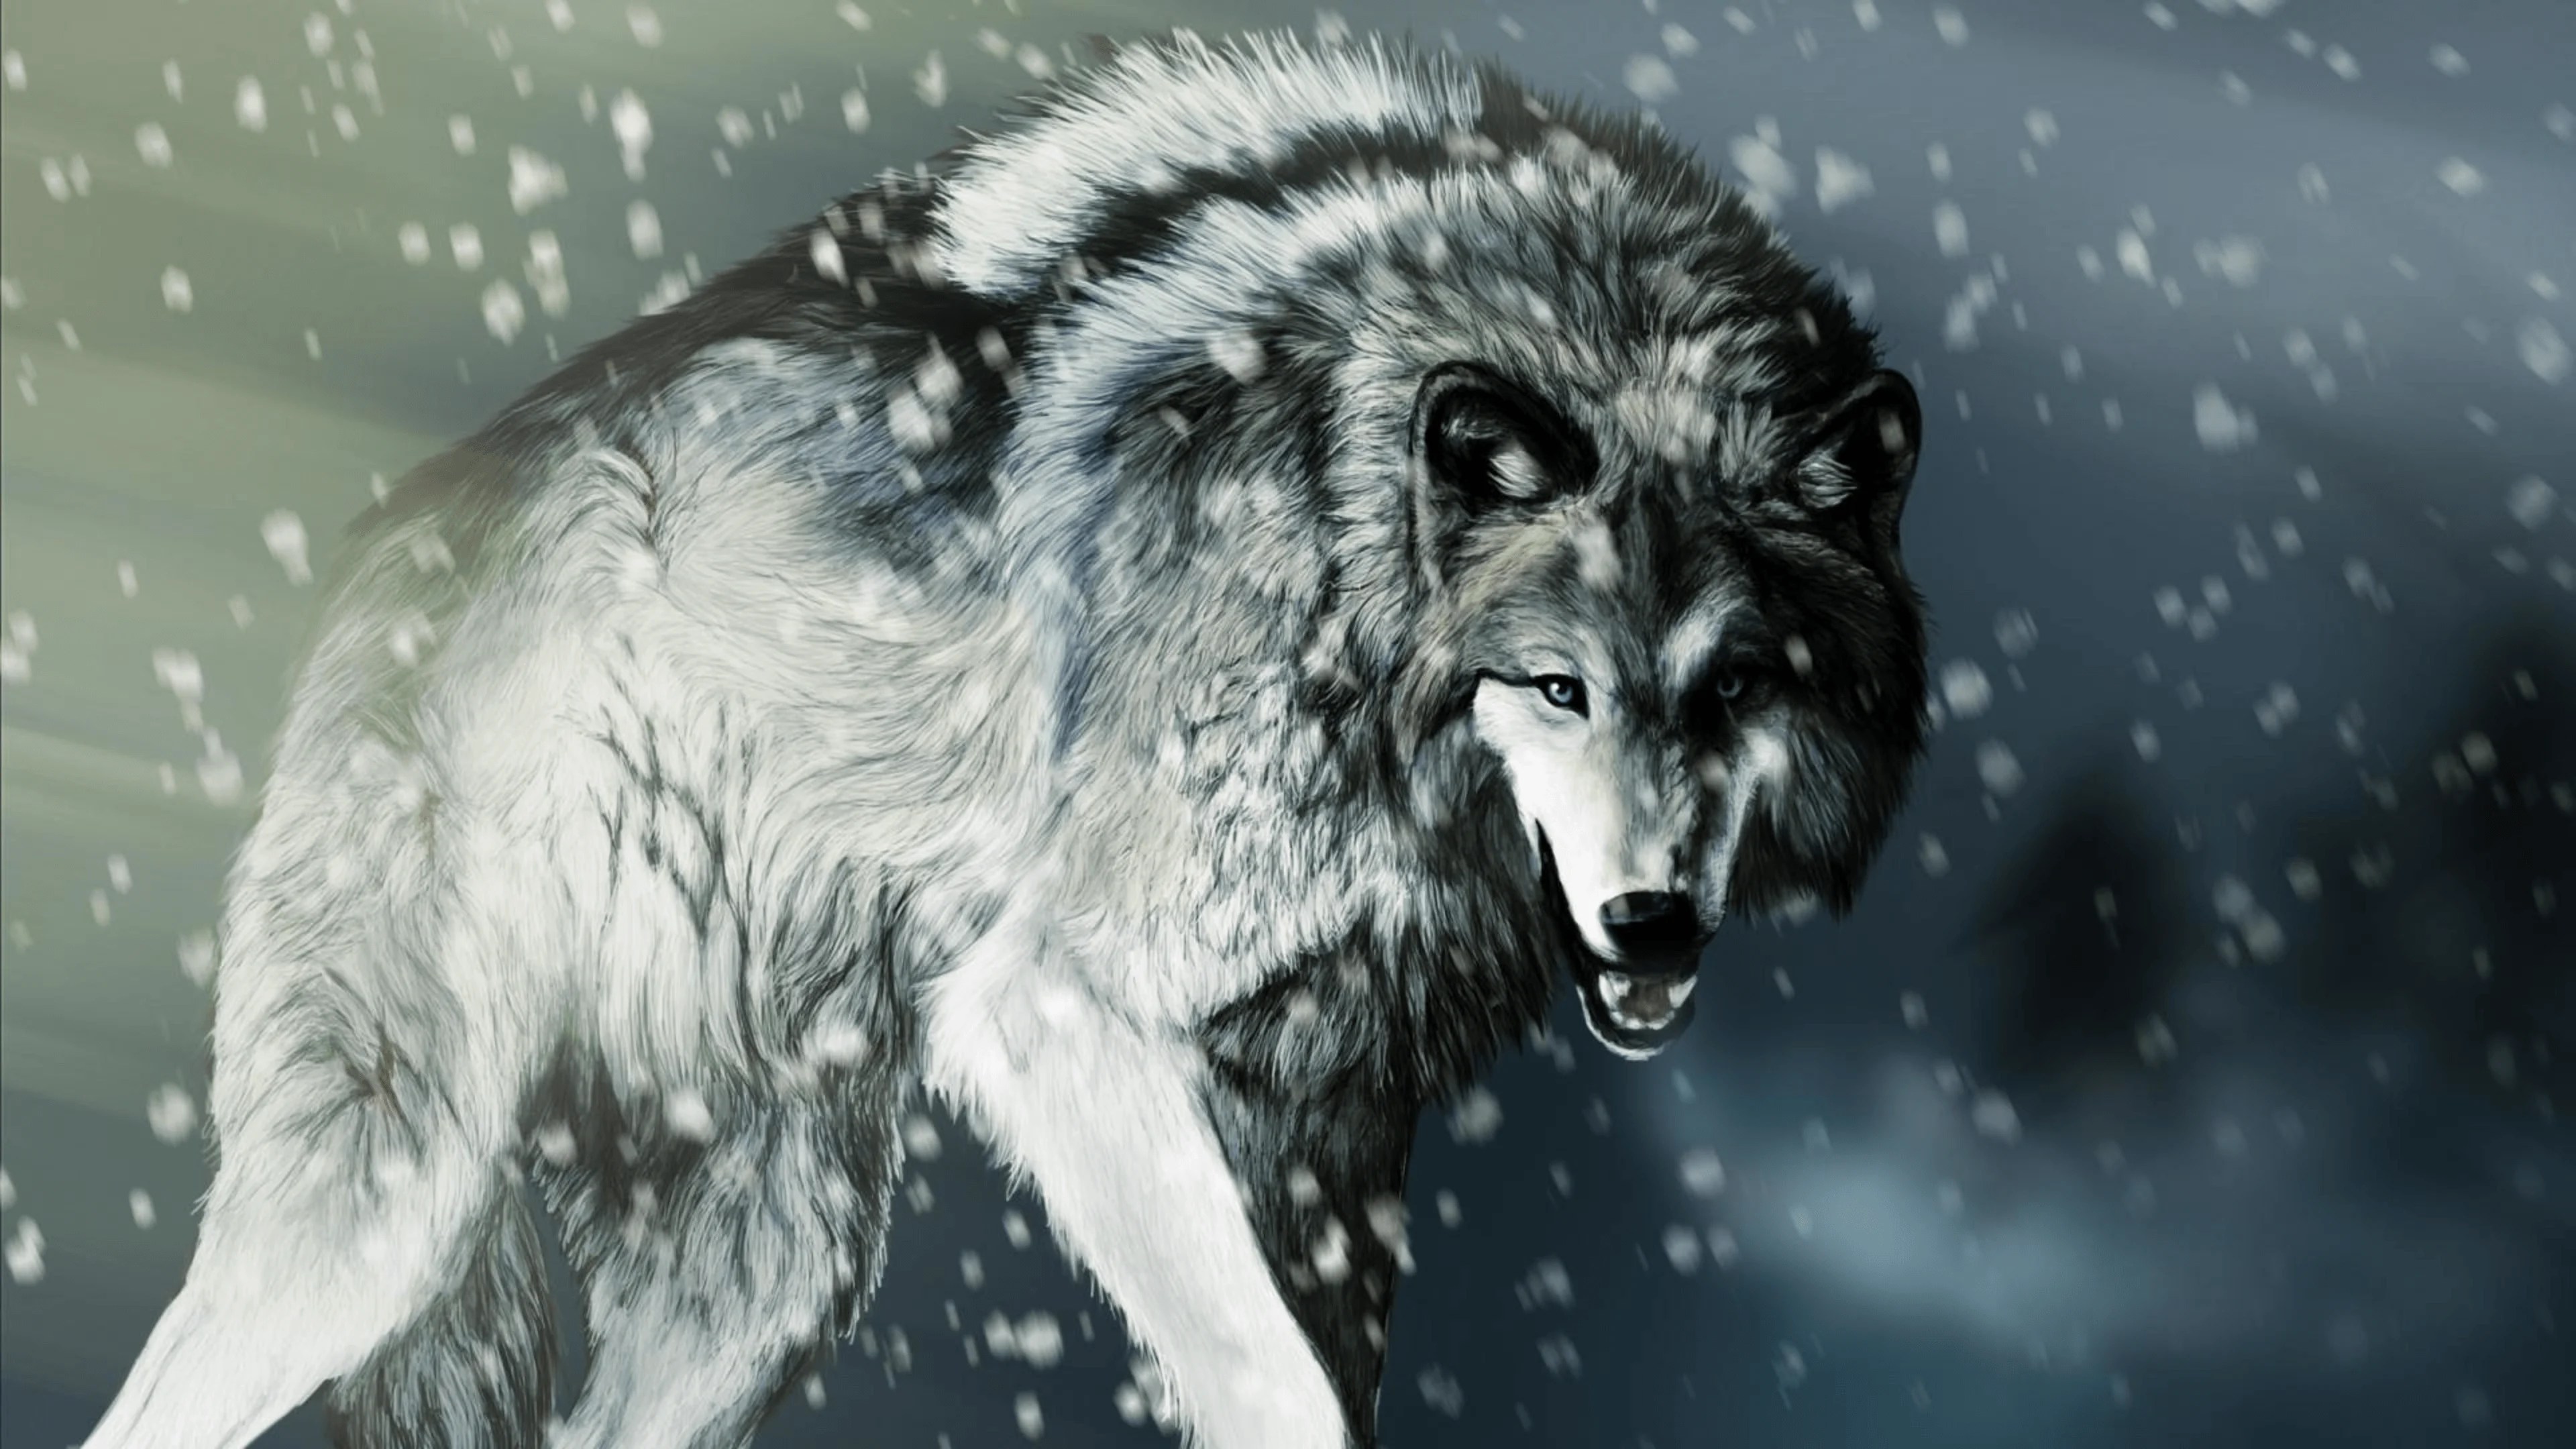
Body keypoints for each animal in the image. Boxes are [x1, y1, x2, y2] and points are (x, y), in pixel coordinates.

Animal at [83, 29, 1930, 1449]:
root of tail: (399, 529)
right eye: (1556, 687)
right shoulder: (1063, 1009)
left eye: (1736, 686)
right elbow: (1272, 1386)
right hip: (382, 1210)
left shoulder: (1329, 1133)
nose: (1651, 924)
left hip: (776, 1274)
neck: (1347, 543)